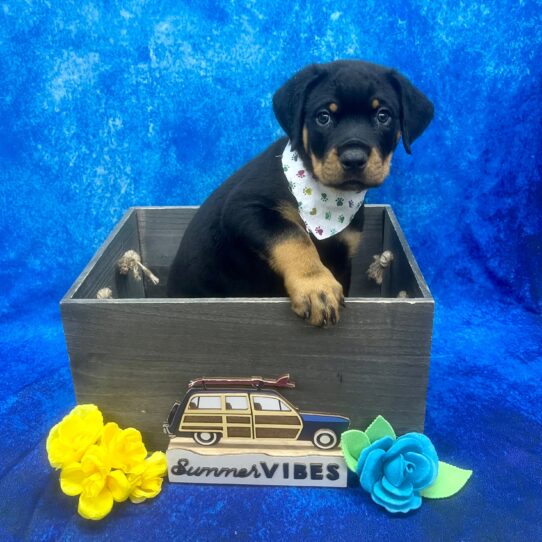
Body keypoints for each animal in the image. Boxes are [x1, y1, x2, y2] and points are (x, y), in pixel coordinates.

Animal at [168, 62, 436, 330]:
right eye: (323, 117)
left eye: (383, 115)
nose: (354, 159)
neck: (327, 202)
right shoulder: (245, 207)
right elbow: (294, 236)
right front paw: (316, 287)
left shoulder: (343, 257)